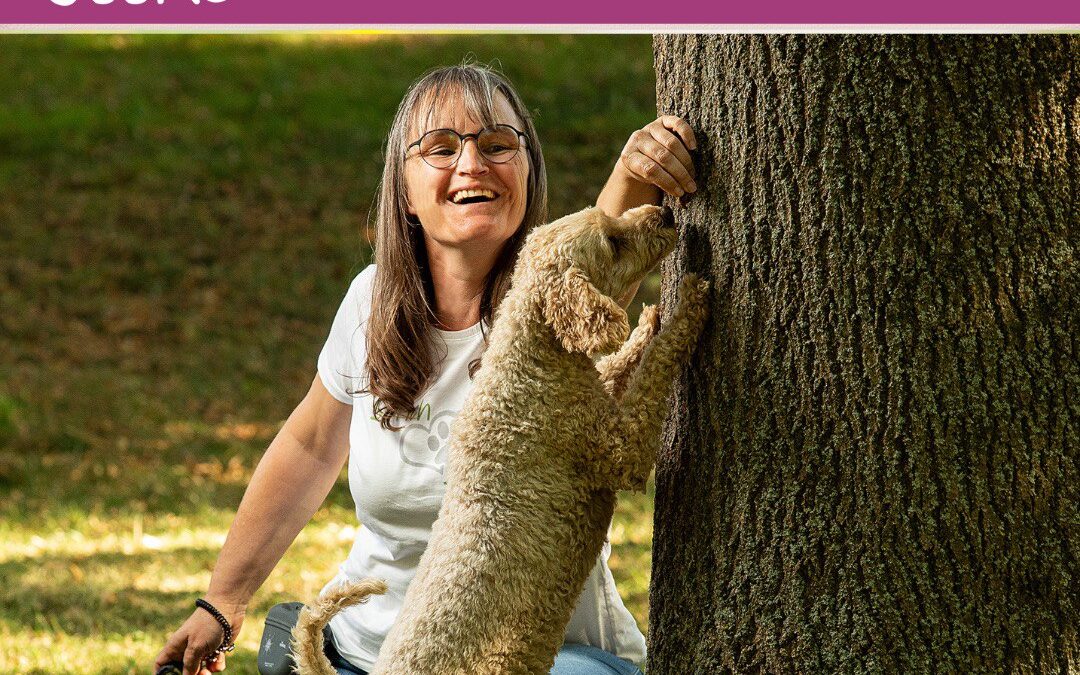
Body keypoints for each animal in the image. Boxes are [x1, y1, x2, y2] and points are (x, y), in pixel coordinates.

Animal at [293, 204, 708, 673]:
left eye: (609, 215)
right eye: (612, 242)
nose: (665, 213)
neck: (530, 356)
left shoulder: (594, 397)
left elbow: (617, 366)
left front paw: (646, 326)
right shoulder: (621, 448)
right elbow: (654, 369)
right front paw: (687, 308)